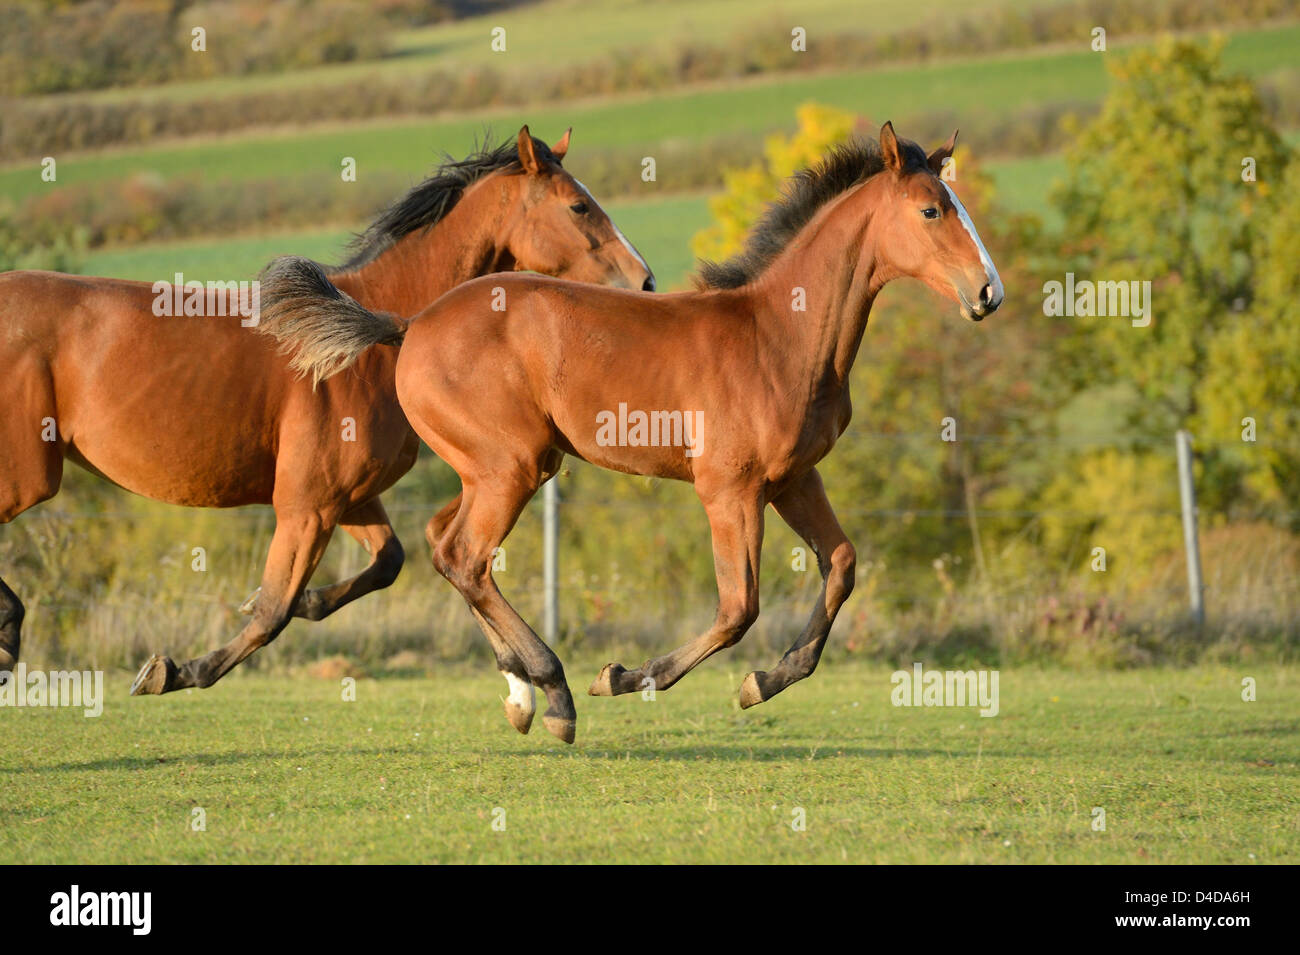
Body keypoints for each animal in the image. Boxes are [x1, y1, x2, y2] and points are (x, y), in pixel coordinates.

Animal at [0, 127, 655, 696]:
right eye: (579, 207)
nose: (646, 282)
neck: (365, 333)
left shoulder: (347, 495)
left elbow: (384, 563)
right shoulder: (306, 505)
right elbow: (273, 609)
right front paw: (175, 670)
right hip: (28, 479)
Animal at [250, 121, 1003, 748]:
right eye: (932, 210)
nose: (987, 293)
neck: (778, 335)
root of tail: (410, 325)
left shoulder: (793, 479)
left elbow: (840, 565)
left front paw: (765, 681)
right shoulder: (729, 490)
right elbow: (739, 607)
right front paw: (624, 677)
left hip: (498, 466)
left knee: (443, 543)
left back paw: (517, 694)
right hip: (511, 467)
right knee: (465, 556)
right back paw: (554, 694)